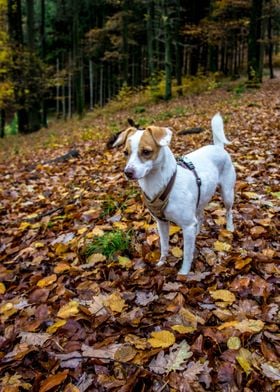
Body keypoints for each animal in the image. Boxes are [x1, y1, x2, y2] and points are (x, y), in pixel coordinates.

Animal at [112, 112, 235, 274]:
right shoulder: (162, 223)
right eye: (125, 153)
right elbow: (164, 246)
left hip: (227, 194)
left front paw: (184, 273)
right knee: (200, 216)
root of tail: (217, 147)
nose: (128, 172)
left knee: (228, 211)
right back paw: (197, 232)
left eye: (146, 152)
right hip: (200, 199)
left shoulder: (187, 226)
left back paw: (230, 228)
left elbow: (187, 254)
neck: (159, 184)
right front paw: (162, 262)